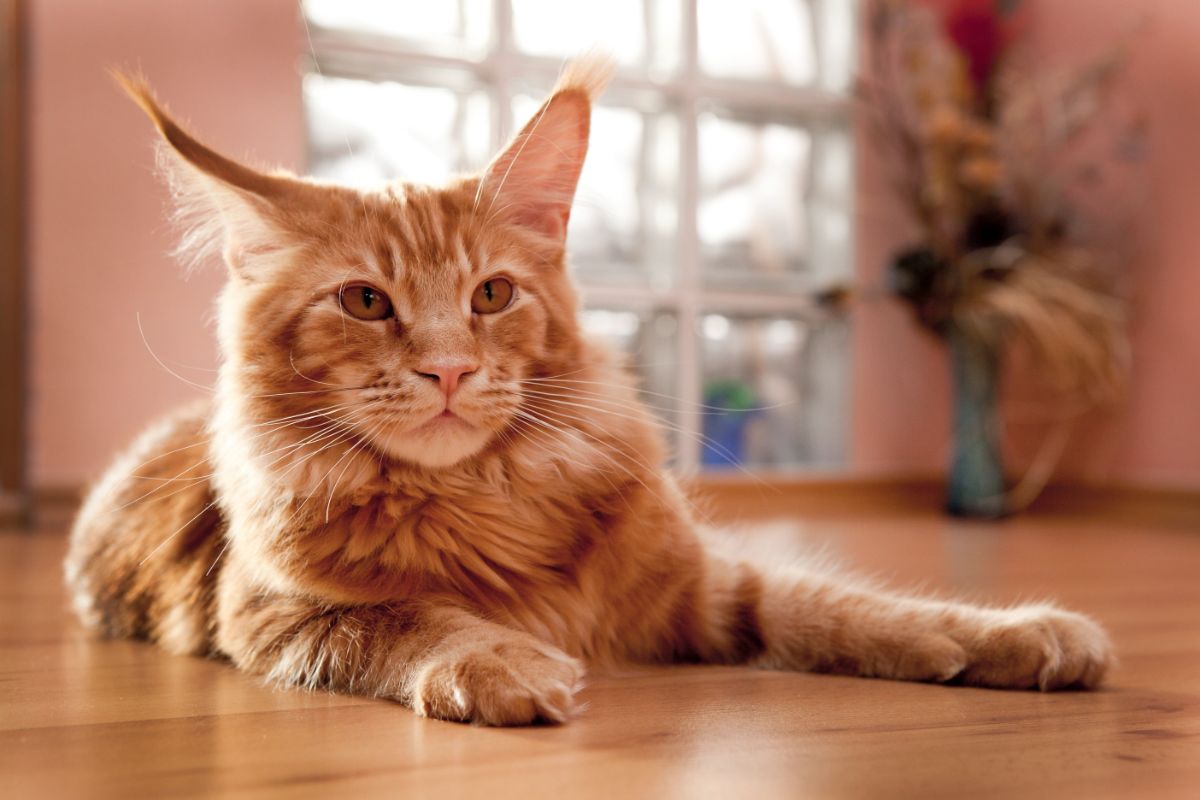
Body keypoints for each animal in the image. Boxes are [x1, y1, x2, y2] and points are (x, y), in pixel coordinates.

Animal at [68, 57, 1113, 724]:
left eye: (491, 295)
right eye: (365, 302)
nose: (448, 369)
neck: (486, 495)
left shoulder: (706, 586)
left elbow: (850, 607)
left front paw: (1012, 634)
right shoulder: (277, 612)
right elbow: (407, 617)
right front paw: (500, 659)